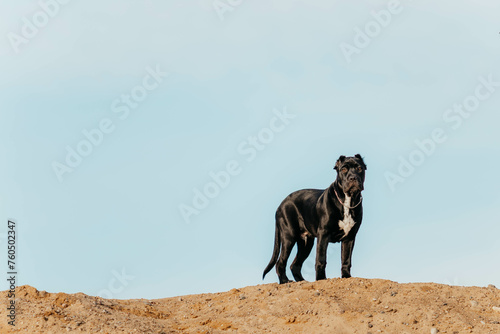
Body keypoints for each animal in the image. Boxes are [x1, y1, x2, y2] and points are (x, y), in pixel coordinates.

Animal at [264, 155, 366, 284]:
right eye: (343, 169)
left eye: (359, 168)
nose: (353, 177)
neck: (348, 201)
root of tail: (281, 205)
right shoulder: (324, 234)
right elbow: (321, 259)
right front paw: (321, 279)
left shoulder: (350, 237)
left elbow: (346, 259)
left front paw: (347, 277)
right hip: (289, 237)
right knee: (280, 262)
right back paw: (284, 281)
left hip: (306, 243)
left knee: (295, 265)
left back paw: (302, 282)